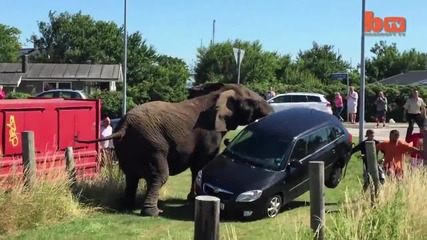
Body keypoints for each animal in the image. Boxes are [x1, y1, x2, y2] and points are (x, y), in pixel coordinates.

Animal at [73, 83, 274, 217]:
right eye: (253, 103)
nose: (272, 113)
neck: (218, 93)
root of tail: (123, 126)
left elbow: (196, 167)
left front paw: (192, 198)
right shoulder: (210, 133)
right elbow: (202, 164)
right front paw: (194, 198)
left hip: (127, 148)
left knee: (131, 177)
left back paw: (127, 207)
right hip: (152, 144)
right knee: (160, 176)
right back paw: (153, 212)